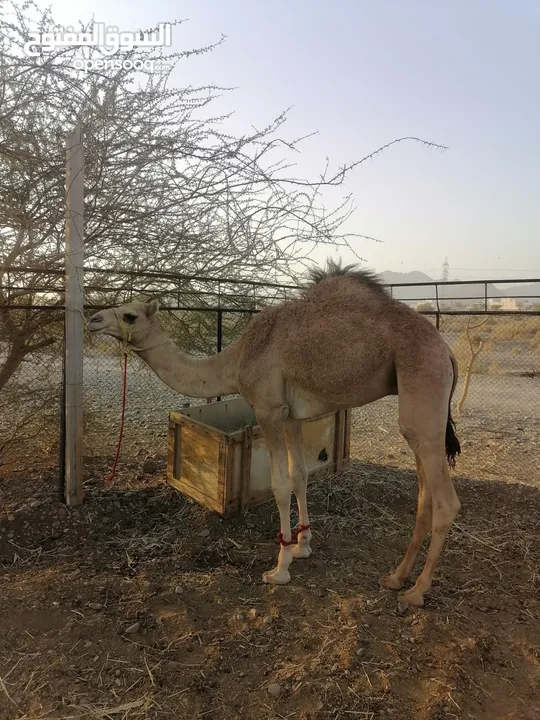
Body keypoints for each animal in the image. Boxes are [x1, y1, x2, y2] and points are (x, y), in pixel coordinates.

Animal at [87, 260, 460, 608]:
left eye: (130, 315)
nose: (94, 319)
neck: (238, 359)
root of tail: (447, 351)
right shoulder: (292, 417)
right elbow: (299, 476)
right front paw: (301, 546)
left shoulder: (267, 410)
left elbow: (279, 485)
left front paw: (279, 568)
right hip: (419, 414)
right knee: (424, 496)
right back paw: (395, 577)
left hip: (423, 389)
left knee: (446, 502)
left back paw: (417, 591)